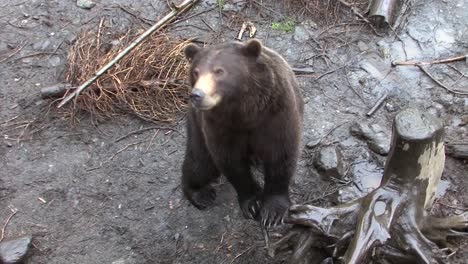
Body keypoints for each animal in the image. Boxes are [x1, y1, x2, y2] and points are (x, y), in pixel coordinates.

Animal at [179, 38, 304, 227]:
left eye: (219, 71)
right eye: (196, 72)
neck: (245, 112)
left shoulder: (277, 113)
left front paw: (273, 211)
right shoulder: (220, 125)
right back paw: (201, 193)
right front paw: (252, 203)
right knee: (200, 162)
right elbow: (230, 161)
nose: (197, 95)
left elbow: (281, 153)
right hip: (196, 125)